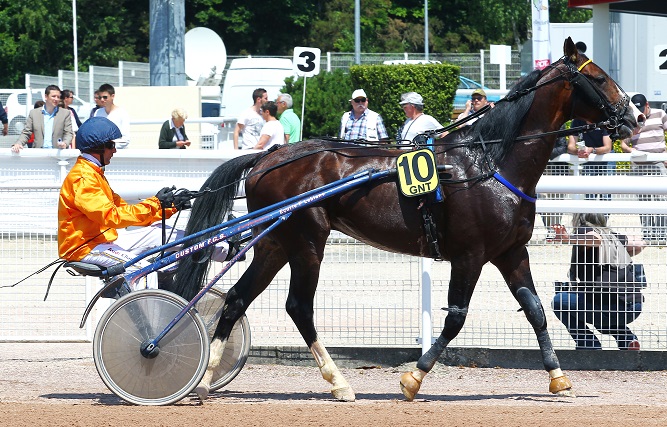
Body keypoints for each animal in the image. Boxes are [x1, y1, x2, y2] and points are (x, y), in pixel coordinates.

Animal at [175, 38, 640, 402]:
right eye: (598, 78)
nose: (637, 115)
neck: (489, 162)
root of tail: (267, 158)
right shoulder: (469, 255)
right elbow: (455, 318)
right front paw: (413, 378)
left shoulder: (511, 252)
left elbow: (536, 310)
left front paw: (559, 378)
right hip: (307, 241)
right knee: (298, 307)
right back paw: (338, 382)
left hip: (274, 243)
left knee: (237, 299)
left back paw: (206, 381)